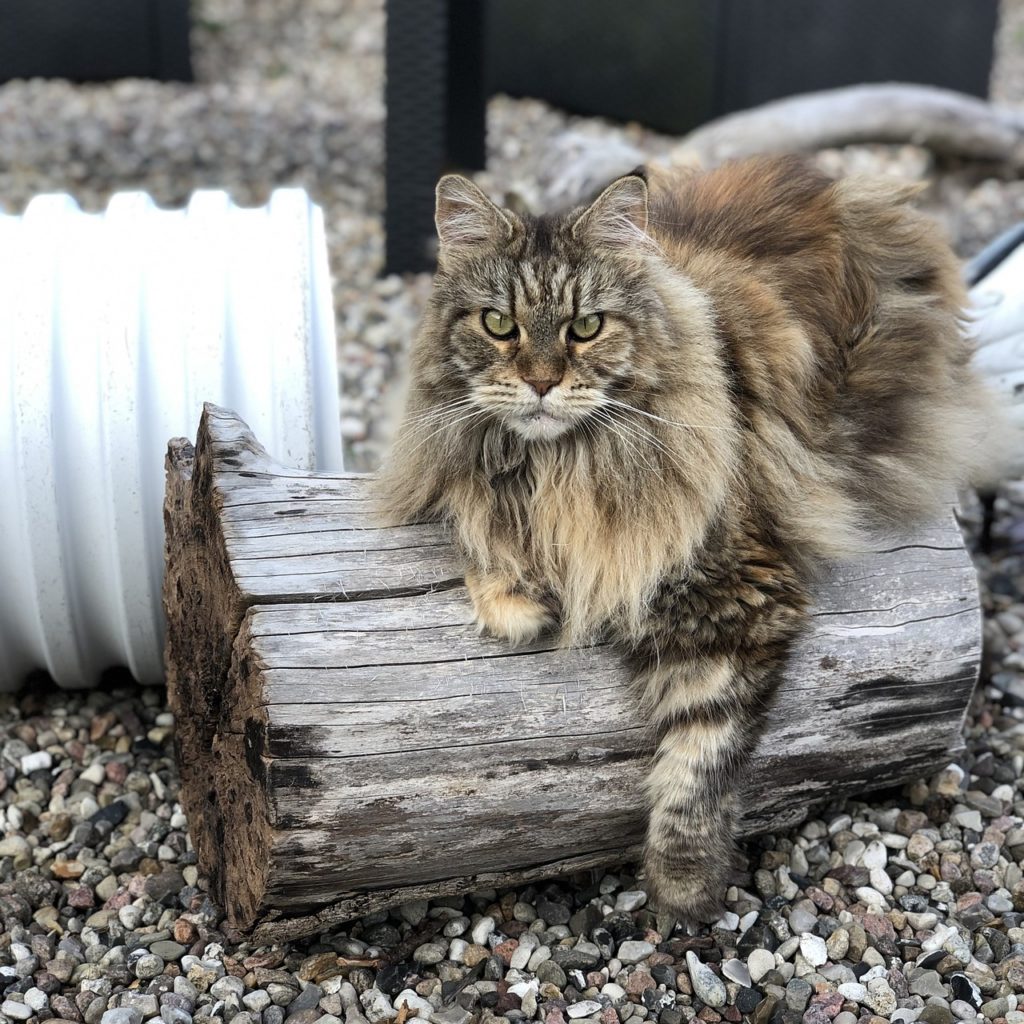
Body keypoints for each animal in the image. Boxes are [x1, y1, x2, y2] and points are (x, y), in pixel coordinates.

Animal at [374, 157, 999, 921]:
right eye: (498, 325)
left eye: (586, 328)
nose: (541, 382)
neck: (559, 470)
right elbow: (478, 532)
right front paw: (514, 599)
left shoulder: (739, 602)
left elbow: (698, 766)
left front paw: (683, 888)